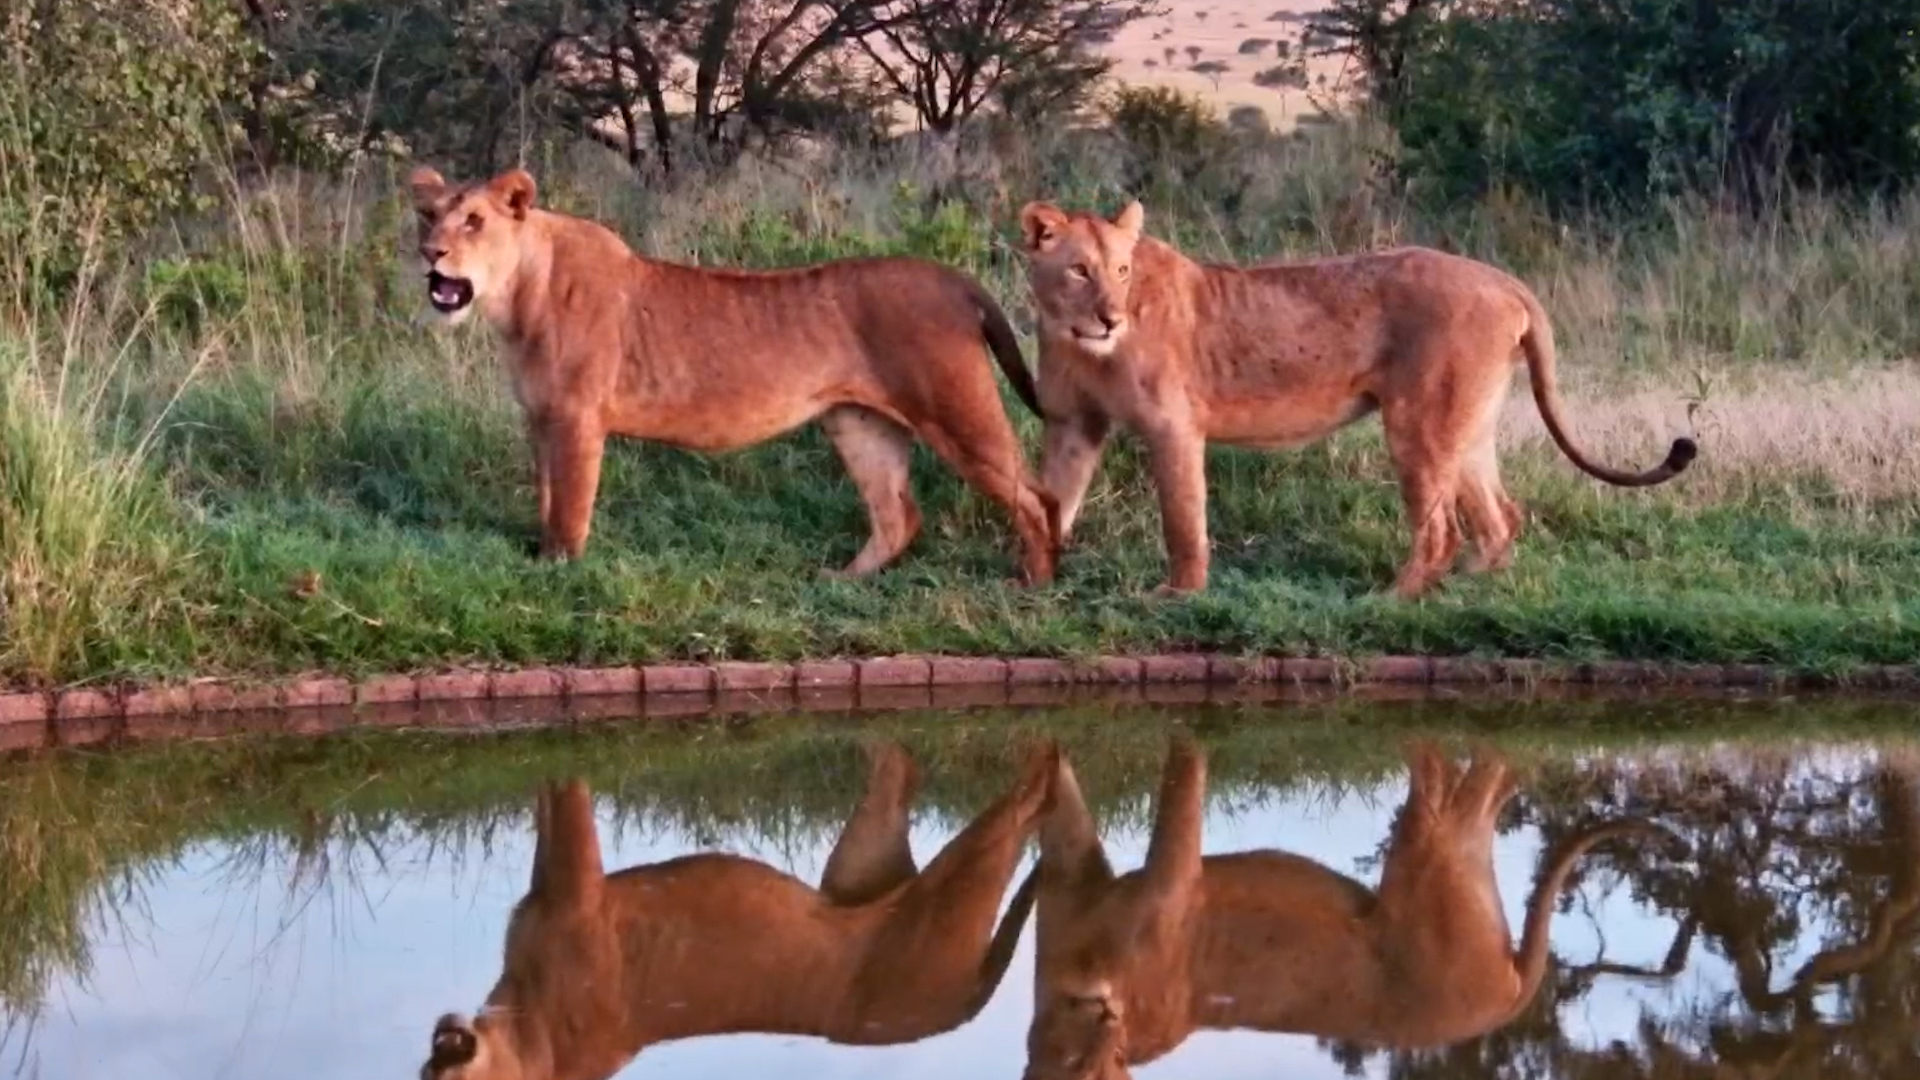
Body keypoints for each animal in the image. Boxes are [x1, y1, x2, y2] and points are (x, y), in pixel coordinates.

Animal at [405, 165, 1057, 584]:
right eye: (427, 217)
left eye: (474, 221)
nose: (430, 254)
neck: (515, 299)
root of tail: (953, 277)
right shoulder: (540, 419)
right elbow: (546, 497)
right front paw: (539, 560)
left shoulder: (576, 418)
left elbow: (569, 506)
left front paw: (559, 573)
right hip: (859, 423)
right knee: (899, 515)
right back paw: (840, 580)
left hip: (956, 411)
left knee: (1035, 495)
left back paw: (1033, 582)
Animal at [419, 739, 1057, 1080]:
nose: (443, 1039)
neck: (517, 1029)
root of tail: (960, 1011)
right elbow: (547, 806)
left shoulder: (579, 885)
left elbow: (565, 801)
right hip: (862, 858)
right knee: (905, 769)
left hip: (954, 888)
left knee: (1021, 807)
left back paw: (1051, 778)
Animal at [1016, 199, 1698, 598]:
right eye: (1079, 269)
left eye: (1122, 271)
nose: (1110, 316)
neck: (1080, 339)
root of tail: (1504, 279)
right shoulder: (1074, 424)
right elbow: (1050, 502)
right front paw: (1034, 582)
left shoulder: (1173, 426)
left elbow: (1182, 520)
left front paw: (1178, 595)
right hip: (1468, 426)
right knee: (1500, 515)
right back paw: (1472, 586)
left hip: (1418, 423)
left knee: (1440, 531)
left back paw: (1395, 599)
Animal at [1022, 739, 1661, 1080]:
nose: (1101, 1025)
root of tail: (1506, 1003)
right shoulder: (1072, 886)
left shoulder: (1174, 882)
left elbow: (1181, 786)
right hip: (1455, 850)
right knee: (1494, 781)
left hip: (1429, 848)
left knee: (1459, 773)